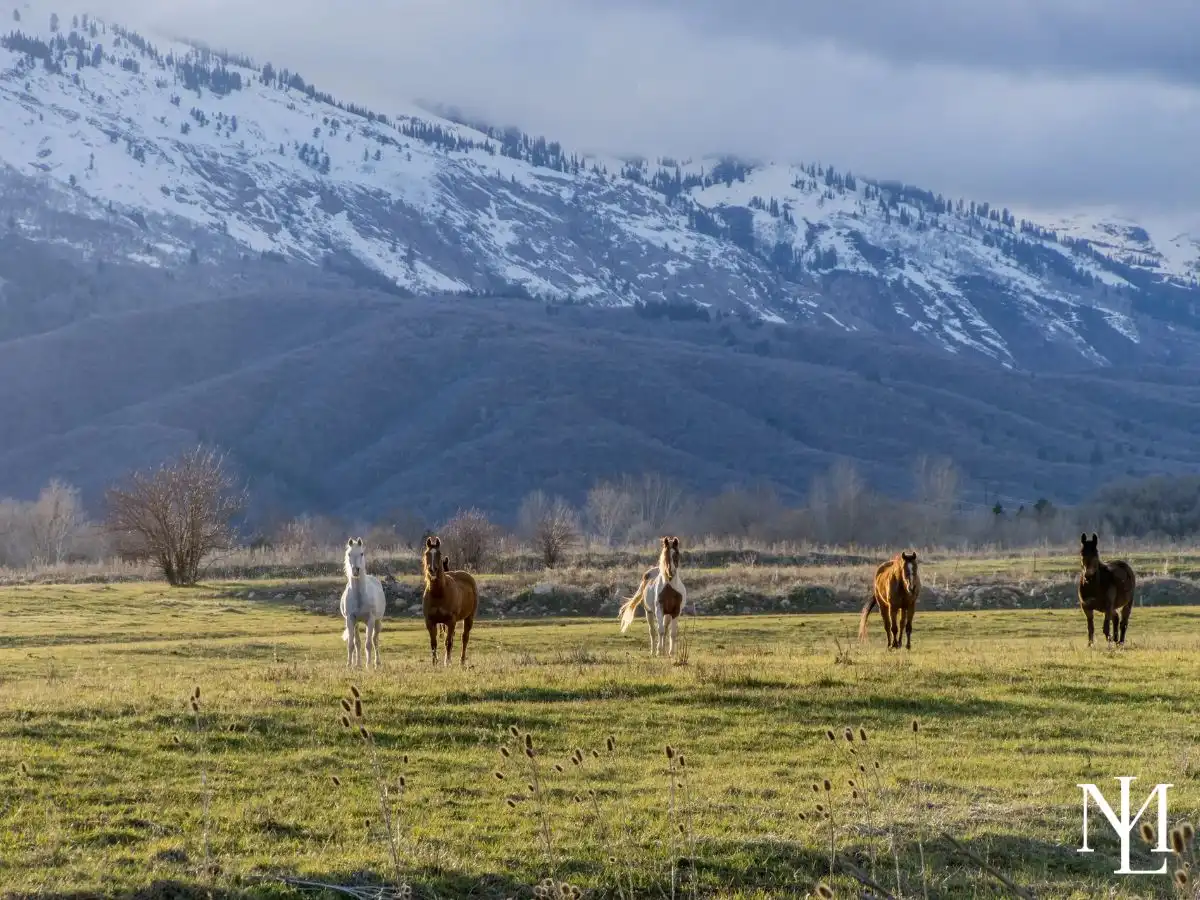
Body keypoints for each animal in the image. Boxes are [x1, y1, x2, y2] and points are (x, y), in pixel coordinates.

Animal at [339, 537, 387, 668]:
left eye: (361, 553)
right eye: (349, 554)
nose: (355, 571)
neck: (359, 596)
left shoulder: (370, 619)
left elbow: (369, 644)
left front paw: (368, 665)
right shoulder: (350, 620)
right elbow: (351, 644)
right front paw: (349, 665)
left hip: (377, 621)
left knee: (375, 640)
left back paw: (376, 662)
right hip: (356, 624)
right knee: (357, 642)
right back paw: (358, 664)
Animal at [421, 535, 479, 666]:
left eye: (439, 554)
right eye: (427, 554)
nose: (432, 570)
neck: (439, 593)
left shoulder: (451, 621)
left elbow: (448, 642)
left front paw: (446, 663)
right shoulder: (430, 621)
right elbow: (434, 643)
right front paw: (434, 663)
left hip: (469, 617)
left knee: (464, 638)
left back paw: (461, 661)